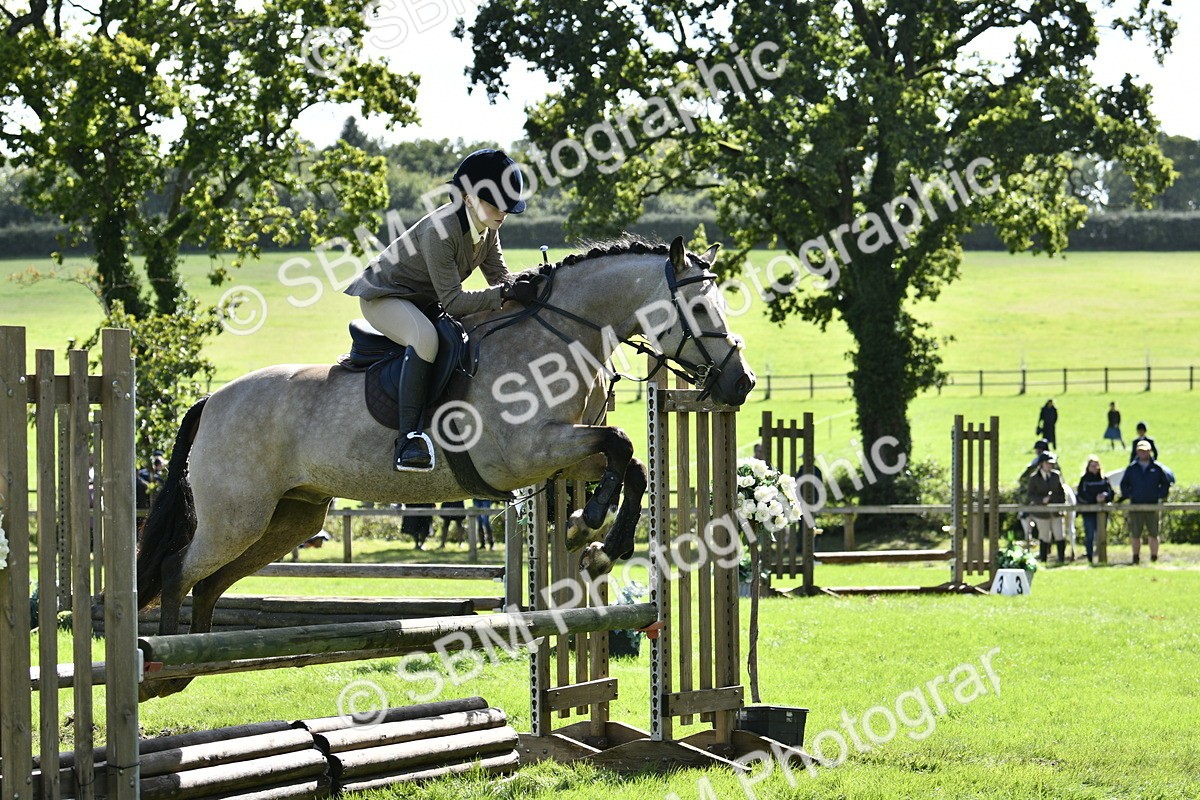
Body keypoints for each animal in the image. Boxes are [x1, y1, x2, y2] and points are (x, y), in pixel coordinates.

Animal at [135, 235, 755, 699]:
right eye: (701, 310)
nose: (741, 383)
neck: (560, 334)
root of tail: (211, 401)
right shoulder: (524, 453)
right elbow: (623, 442)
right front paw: (593, 526)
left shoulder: (563, 450)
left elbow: (631, 463)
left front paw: (600, 539)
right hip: (237, 516)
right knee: (177, 569)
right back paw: (160, 673)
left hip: (289, 519)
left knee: (209, 582)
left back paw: (192, 663)